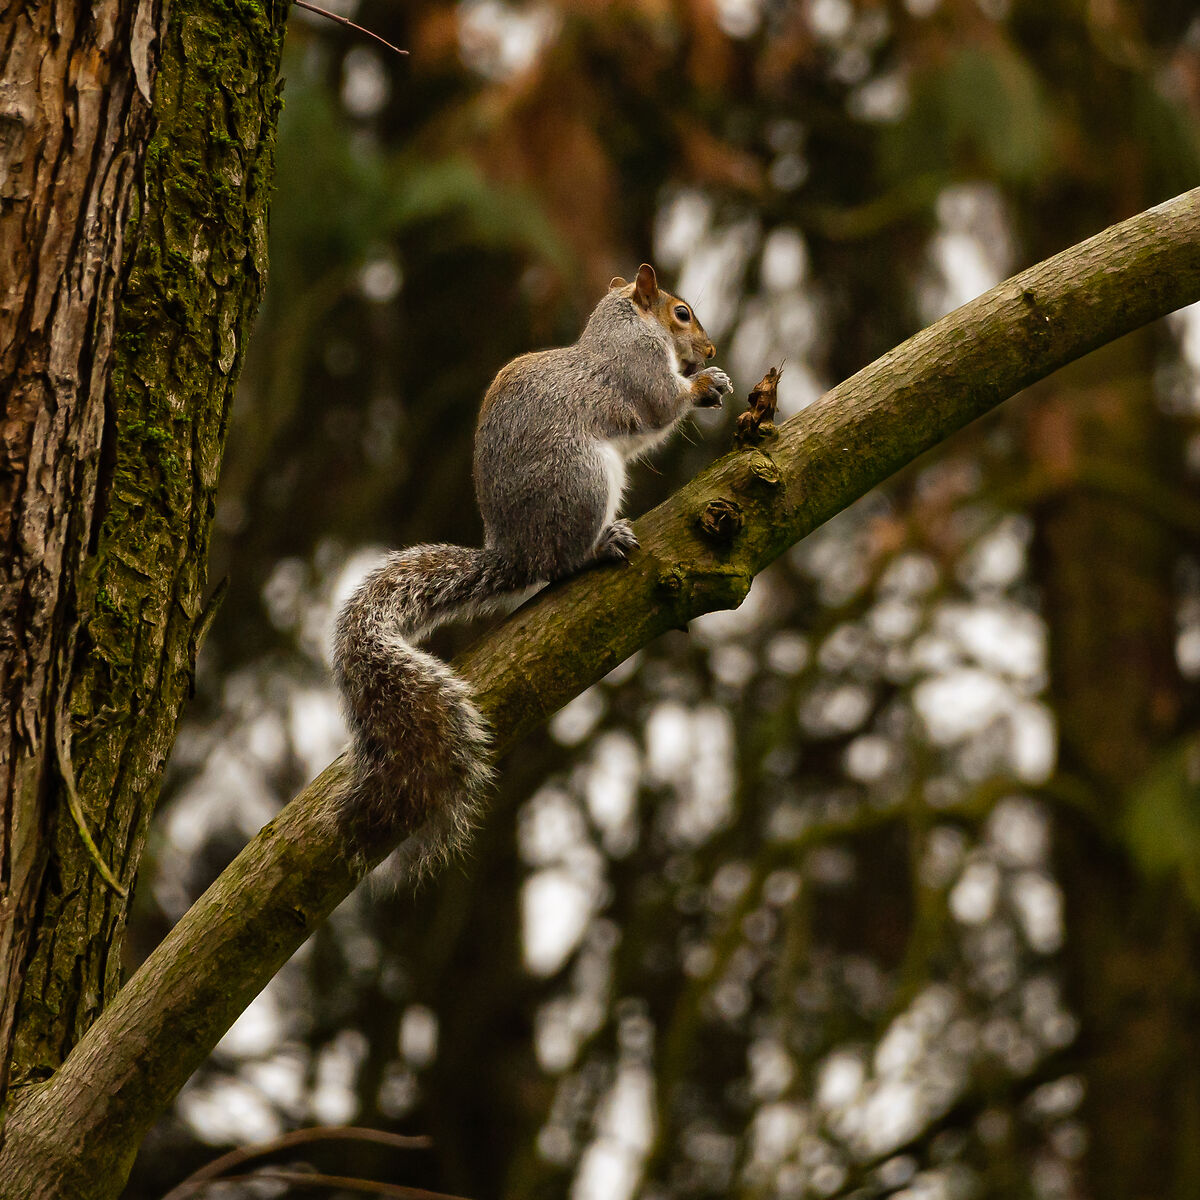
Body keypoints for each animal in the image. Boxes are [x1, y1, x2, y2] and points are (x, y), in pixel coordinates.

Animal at [332, 263, 731, 873]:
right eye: (682, 313)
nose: (707, 347)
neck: (623, 325)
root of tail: (516, 552)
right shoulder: (637, 371)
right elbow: (664, 405)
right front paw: (705, 383)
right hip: (584, 478)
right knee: (562, 562)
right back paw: (601, 546)